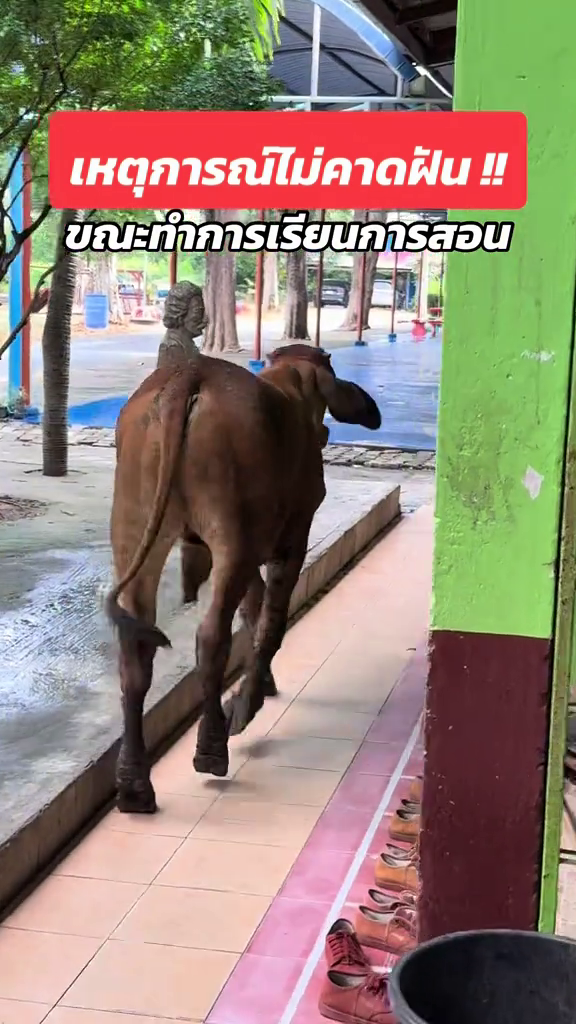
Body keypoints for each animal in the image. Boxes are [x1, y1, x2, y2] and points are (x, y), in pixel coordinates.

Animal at [106, 348, 381, 811]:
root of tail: (189, 376)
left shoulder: (253, 551)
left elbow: (253, 613)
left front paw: (260, 683)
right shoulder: (289, 542)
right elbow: (270, 623)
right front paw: (246, 703)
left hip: (136, 528)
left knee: (135, 654)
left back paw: (134, 784)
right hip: (230, 533)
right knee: (211, 636)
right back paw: (212, 746)